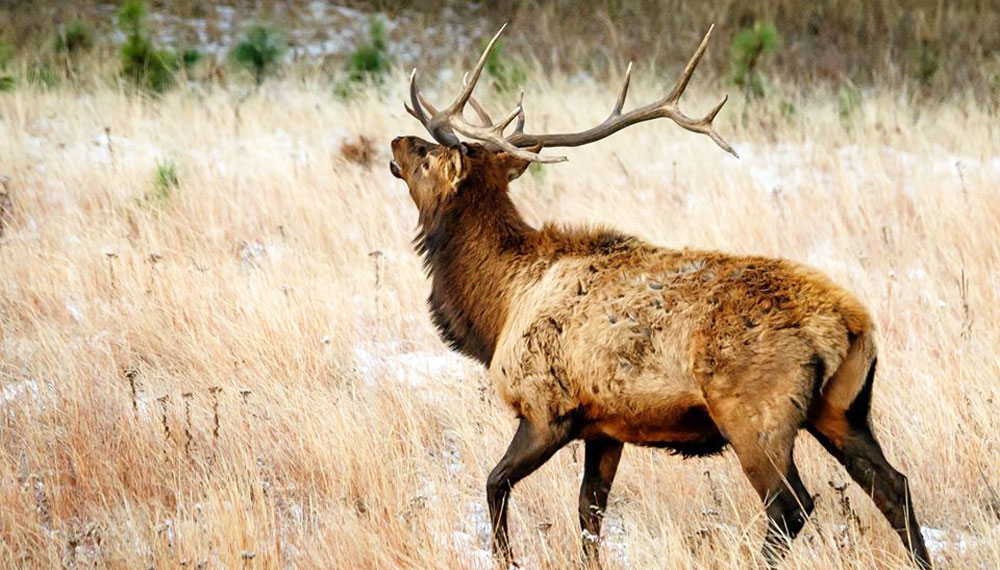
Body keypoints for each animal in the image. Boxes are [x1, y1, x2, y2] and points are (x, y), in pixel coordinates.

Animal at [388, 24, 932, 570]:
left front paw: (505, 558)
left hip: (755, 413)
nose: (396, 140)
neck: (498, 307)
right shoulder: (605, 426)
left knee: (790, 505)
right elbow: (589, 513)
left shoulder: (546, 408)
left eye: (428, 155)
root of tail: (852, 324)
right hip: (843, 409)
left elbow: (495, 483)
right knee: (894, 486)